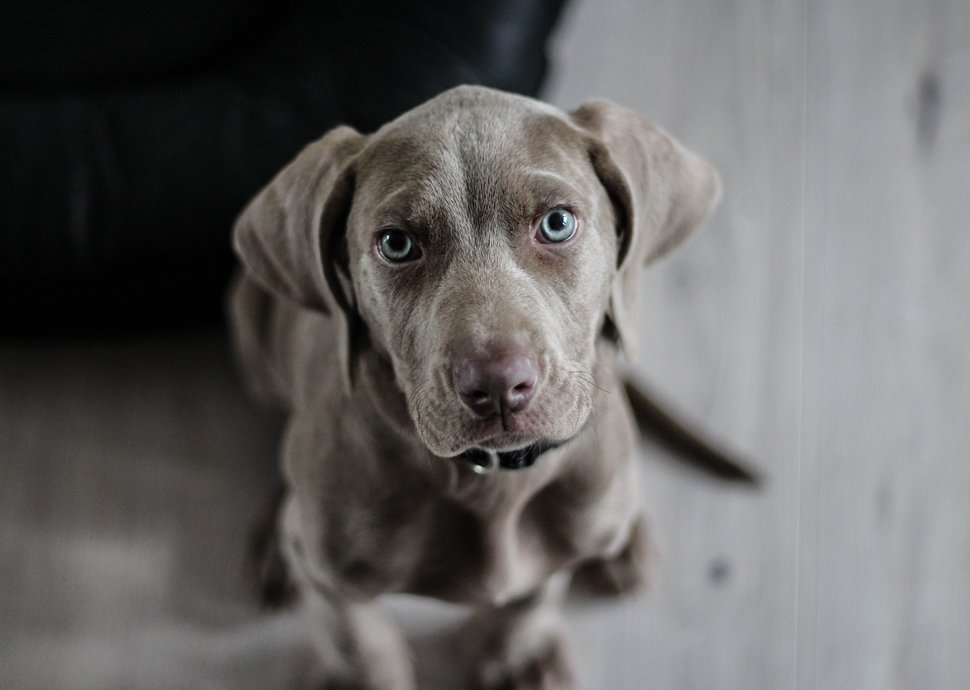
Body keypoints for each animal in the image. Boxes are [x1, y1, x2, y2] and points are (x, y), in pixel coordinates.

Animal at [233, 86, 732, 688]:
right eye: (396, 244)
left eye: (557, 223)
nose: (497, 386)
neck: (491, 481)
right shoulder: (331, 576)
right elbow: (355, 636)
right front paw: (363, 675)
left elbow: (532, 594)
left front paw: (518, 655)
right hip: (249, 323)